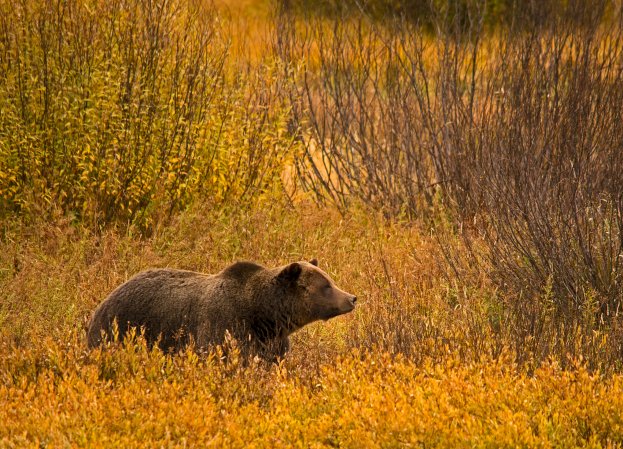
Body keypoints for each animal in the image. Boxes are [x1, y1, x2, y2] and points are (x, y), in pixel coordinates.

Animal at [86, 260, 356, 356]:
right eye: (326, 286)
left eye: (330, 280)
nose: (352, 298)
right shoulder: (225, 325)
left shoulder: (272, 342)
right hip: (119, 327)